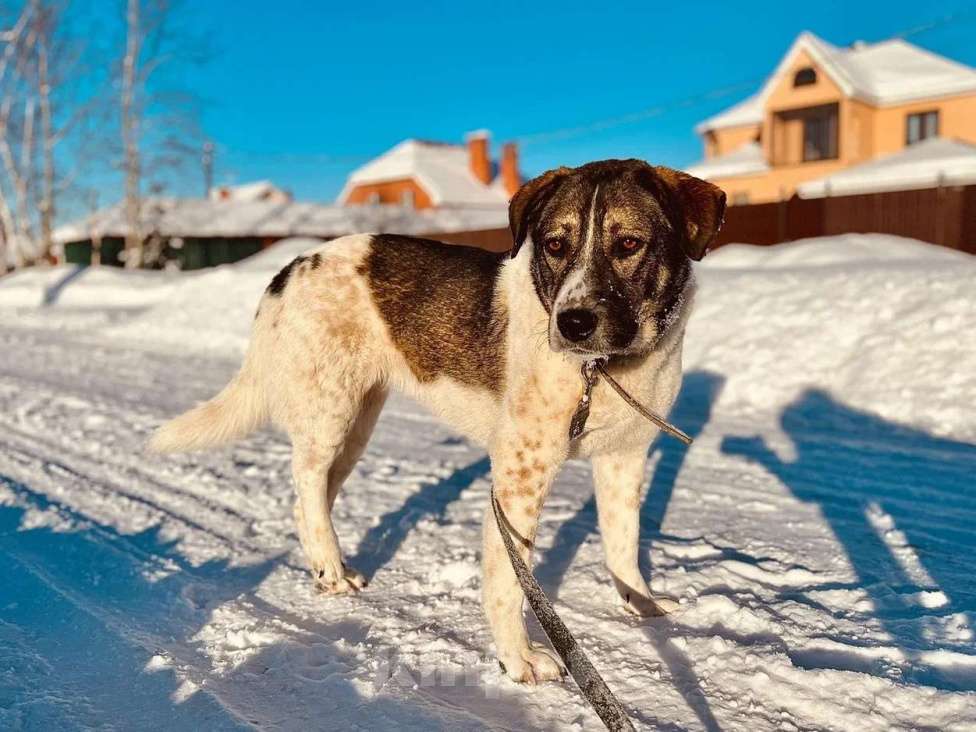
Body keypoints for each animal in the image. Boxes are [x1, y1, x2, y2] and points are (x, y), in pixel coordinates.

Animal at [152, 160, 724, 688]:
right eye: (555, 246)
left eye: (629, 243)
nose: (572, 323)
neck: (604, 368)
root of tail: (288, 269)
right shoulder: (520, 469)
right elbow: (508, 578)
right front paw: (517, 659)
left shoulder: (624, 457)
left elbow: (623, 541)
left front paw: (639, 603)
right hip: (329, 411)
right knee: (309, 485)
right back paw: (331, 569)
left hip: (357, 424)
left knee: (306, 499)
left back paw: (328, 566)